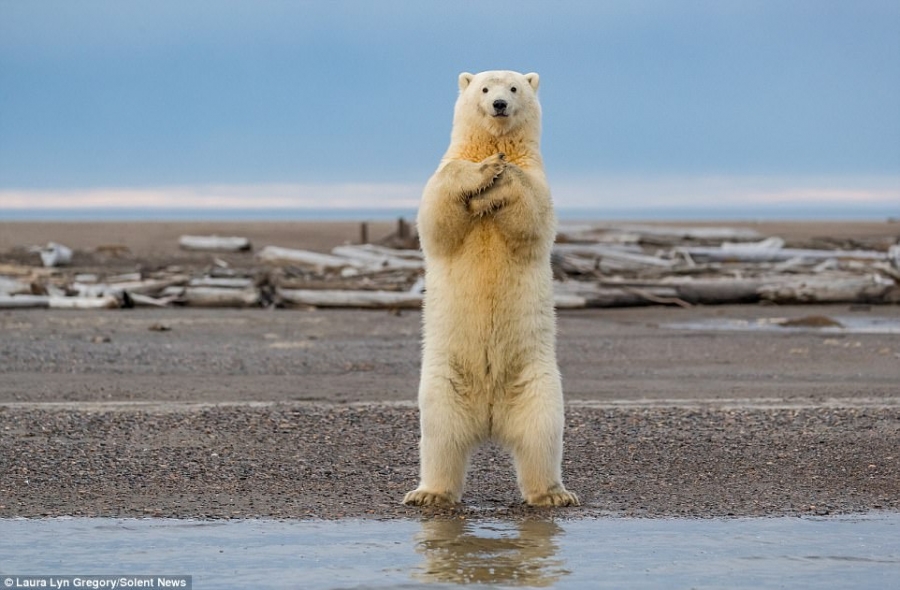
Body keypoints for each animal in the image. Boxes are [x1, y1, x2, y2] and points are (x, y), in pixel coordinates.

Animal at [404, 70, 580, 508]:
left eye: (514, 88)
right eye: (484, 88)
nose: (499, 104)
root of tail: (489, 418)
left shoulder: (539, 179)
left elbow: (532, 214)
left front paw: (501, 176)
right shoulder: (447, 167)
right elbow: (437, 213)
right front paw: (486, 171)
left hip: (537, 380)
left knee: (541, 435)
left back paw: (553, 494)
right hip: (443, 380)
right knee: (440, 437)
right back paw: (429, 493)